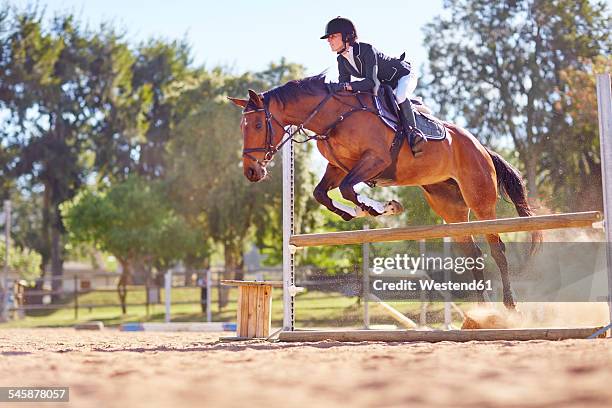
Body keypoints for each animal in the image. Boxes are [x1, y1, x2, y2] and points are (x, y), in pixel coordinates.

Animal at [228, 74, 540, 310]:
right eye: (241, 127)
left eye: (258, 124)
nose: (252, 172)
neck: (335, 116)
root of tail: (481, 147)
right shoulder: (338, 167)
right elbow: (322, 193)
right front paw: (358, 212)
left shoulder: (374, 160)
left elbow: (347, 189)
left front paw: (381, 207)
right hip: (449, 206)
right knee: (473, 253)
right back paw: (482, 310)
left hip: (480, 200)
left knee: (497, 249)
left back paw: (509, 305)